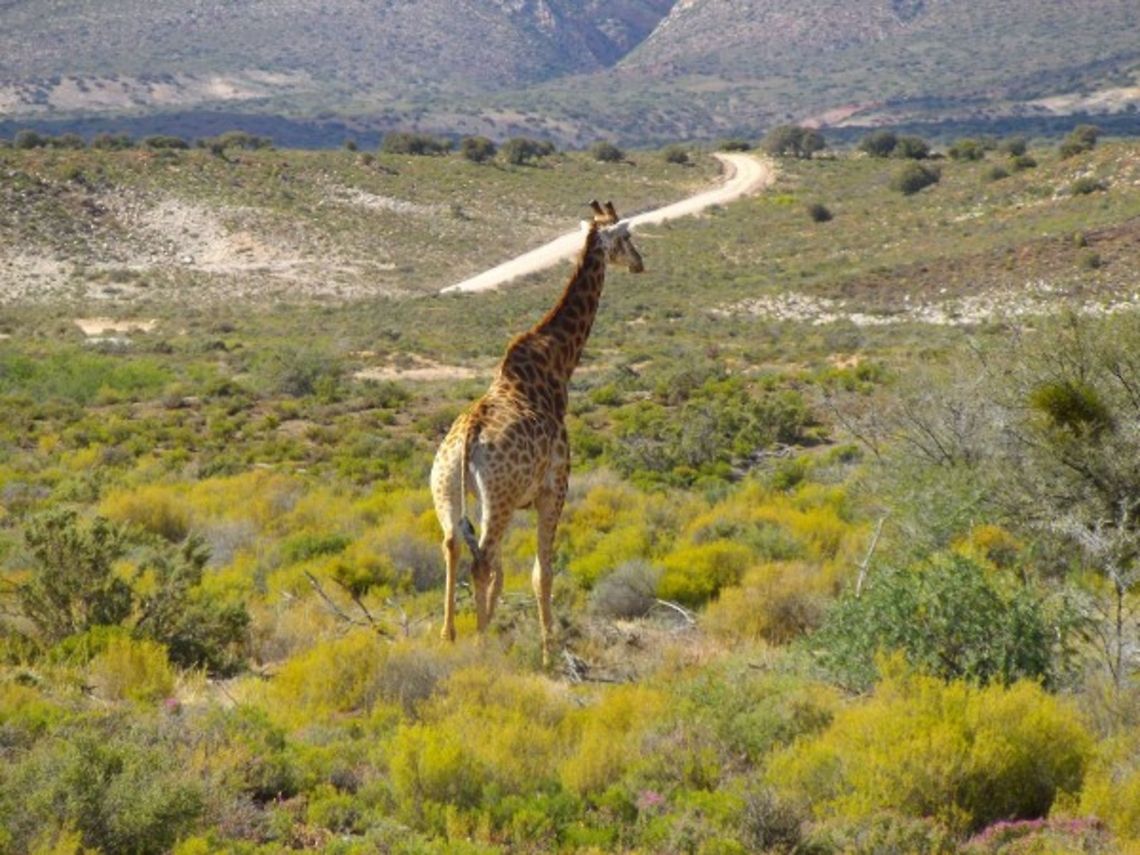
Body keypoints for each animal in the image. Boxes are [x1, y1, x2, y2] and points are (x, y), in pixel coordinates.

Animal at [431, 200, 644, 665]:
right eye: (626, 237)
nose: (640, 263)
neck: (559, 363)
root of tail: (468, 437)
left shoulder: (522, 498)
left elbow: (507, 572)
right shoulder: (554, 488)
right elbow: (541, 571)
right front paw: (549, 652)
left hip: (447, 488)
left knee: (454, 546)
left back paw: (449, 636)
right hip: (499, 495)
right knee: (481, 560)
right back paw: (481, 645)